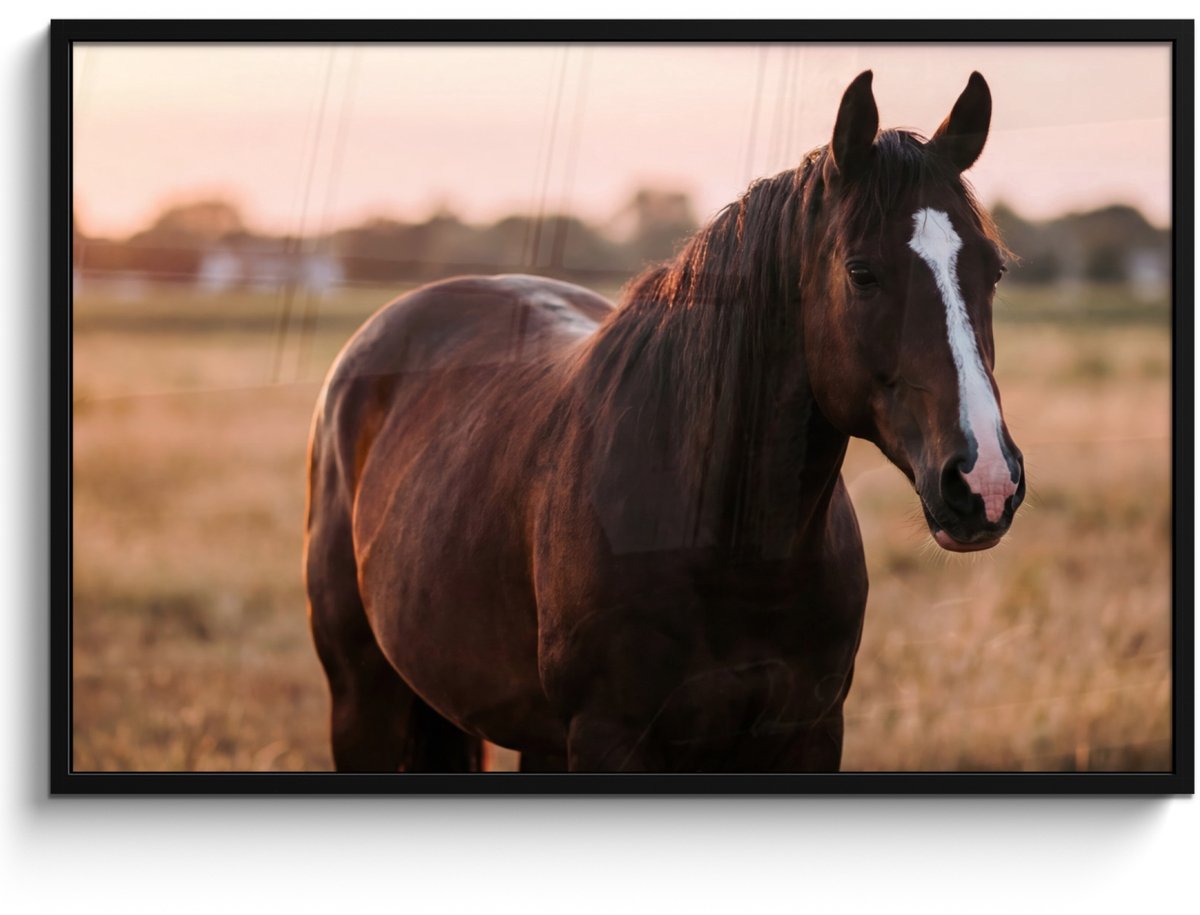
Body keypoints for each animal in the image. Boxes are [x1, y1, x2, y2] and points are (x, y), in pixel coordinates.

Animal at [304, 70, 1025, 773]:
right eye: (862, 273)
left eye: (993, 270)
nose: (985, 481)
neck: (733, 553)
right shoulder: (610, 738)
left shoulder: (810, 732)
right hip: (361, 699)